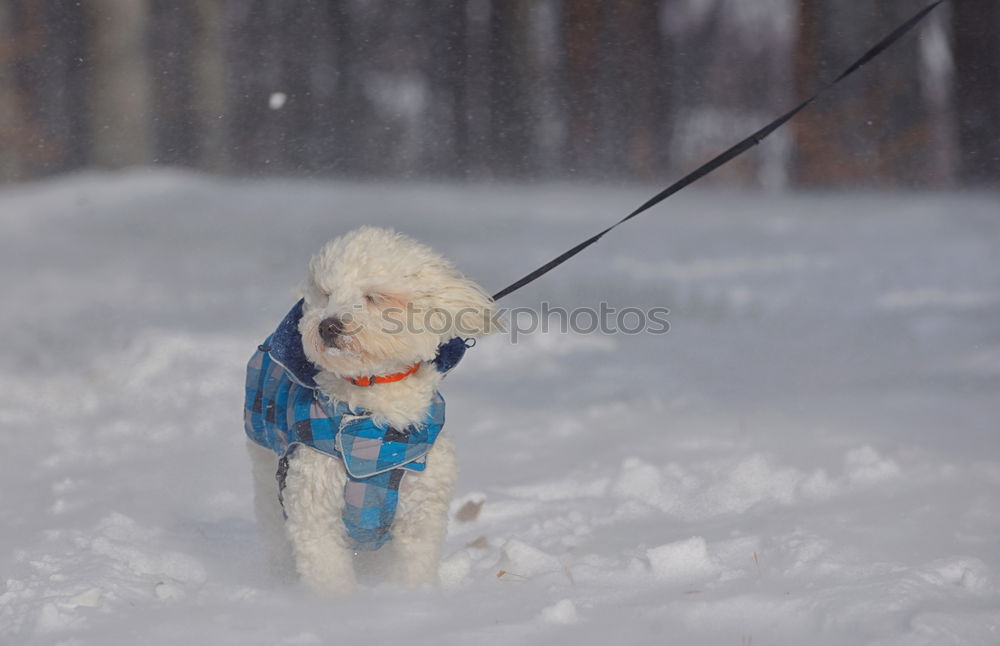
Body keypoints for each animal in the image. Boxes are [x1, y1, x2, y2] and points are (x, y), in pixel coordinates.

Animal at [242, 228, 492, 596]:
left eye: (374, 296)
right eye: (326, 294)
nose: (328, 326)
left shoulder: (420, 513)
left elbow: (414, 567)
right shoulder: (315, 507)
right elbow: (327, 572)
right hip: (267, 479)